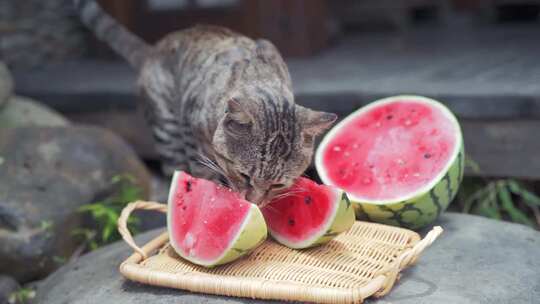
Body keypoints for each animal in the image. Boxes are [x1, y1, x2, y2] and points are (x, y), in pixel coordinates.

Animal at [75, 0, 338, 205]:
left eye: (277, 185)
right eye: (244, 175)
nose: (254, 202)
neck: (260, 78)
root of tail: (153, 49)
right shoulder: (193, 136)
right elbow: (204, 175)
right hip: (167, 132)